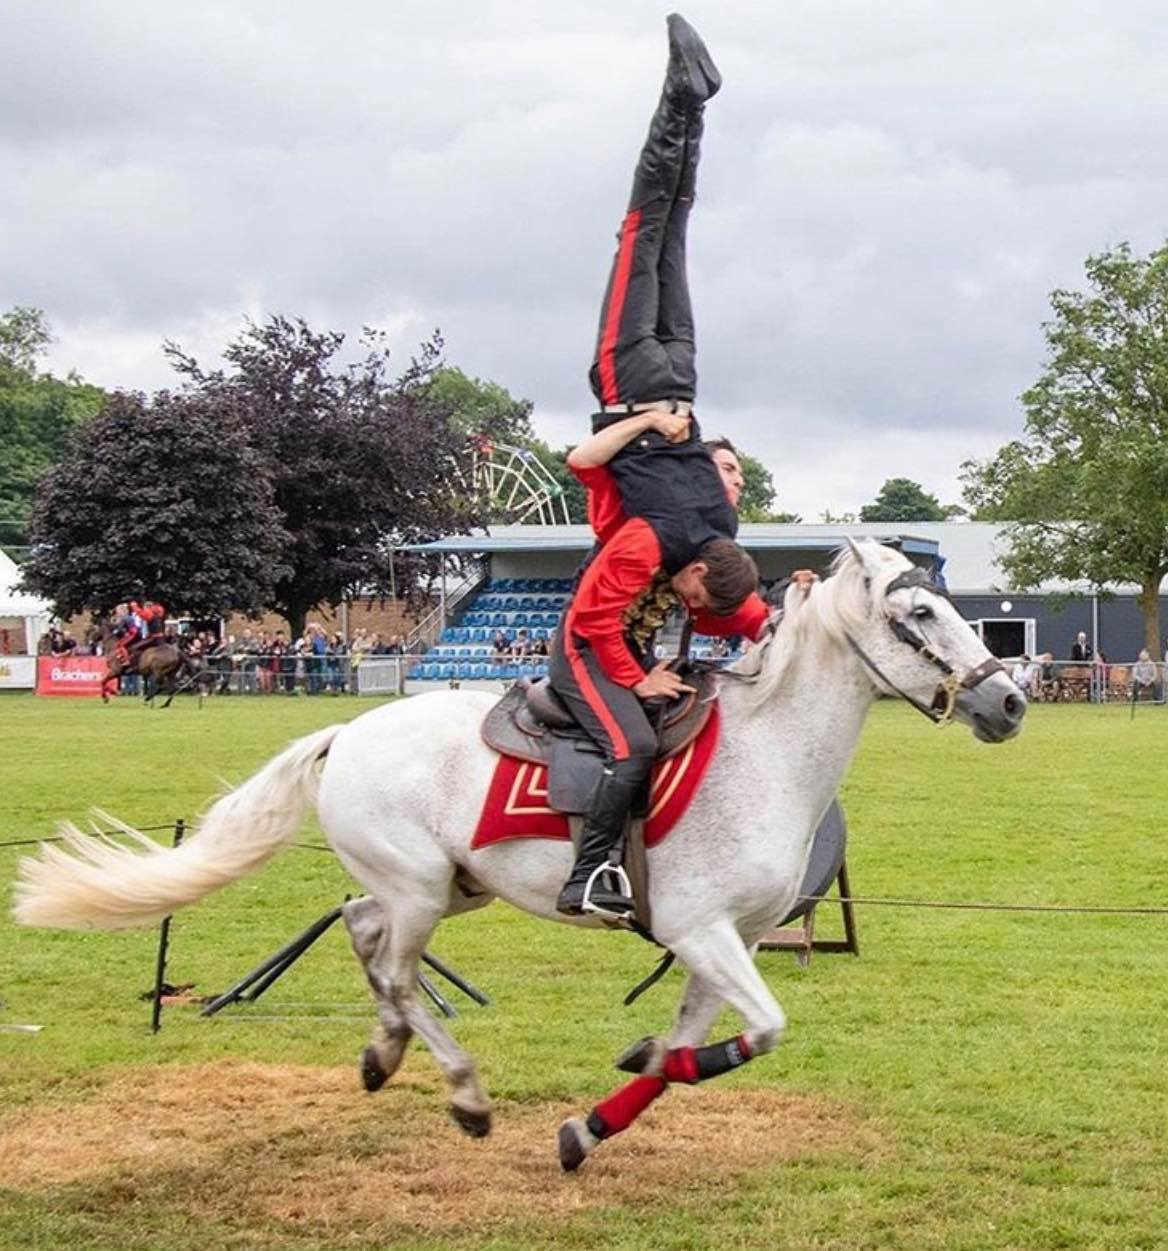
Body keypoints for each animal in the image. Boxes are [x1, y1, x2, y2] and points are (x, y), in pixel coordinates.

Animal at [13, 540, 1030, 1170]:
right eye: (920, 615)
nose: (1010, 701)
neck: (767, 753)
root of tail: (346, 731)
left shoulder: (724, 942)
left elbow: (689, 1046)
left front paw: (594, 1121)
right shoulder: (702, 932)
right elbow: (760, 1030)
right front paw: (623, 1079)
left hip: (449, 887)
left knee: (360, 929)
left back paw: (385, 1054)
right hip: (423, 887)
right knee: (394, 965)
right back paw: (460, 1091)